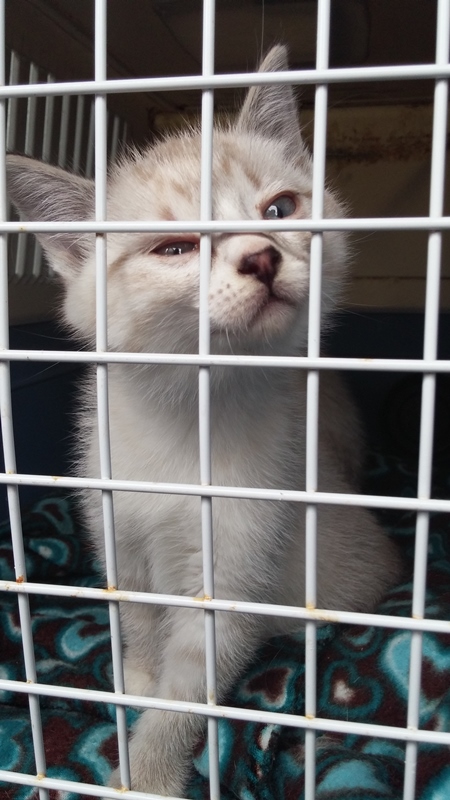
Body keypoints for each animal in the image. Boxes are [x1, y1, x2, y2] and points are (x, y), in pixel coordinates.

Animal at [7, 45, 400, 800]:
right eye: (173, 249)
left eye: (280, 208)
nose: (262, 255)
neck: (188, 418)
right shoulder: (118, 530)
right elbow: (136, 617)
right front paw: (135, 677)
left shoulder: (238, 572)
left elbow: (187, 691)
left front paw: (147, 772)